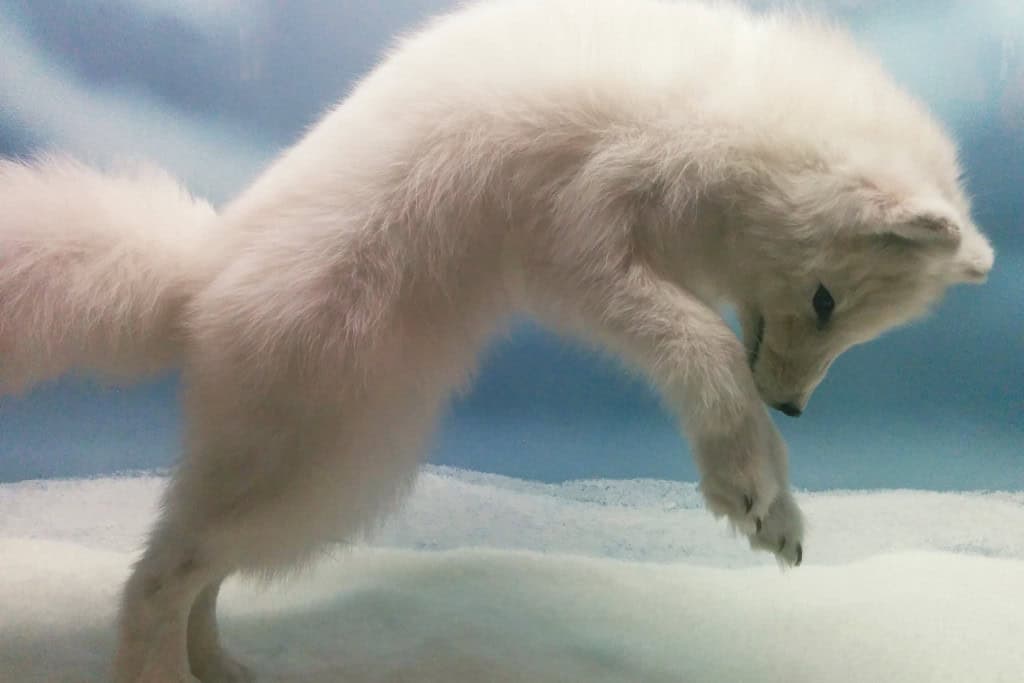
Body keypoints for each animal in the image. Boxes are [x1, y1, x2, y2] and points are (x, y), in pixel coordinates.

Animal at [0, 0, 994, 681]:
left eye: (855, 327)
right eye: (824, 299)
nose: (791, 405)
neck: (721, 116)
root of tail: (204, 272)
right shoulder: (580, 235)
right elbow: (701, 347)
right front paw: (755, 492)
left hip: (308, 469)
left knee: (192, 565)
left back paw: (223, 668)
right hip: (320, 470)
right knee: (158, 575)